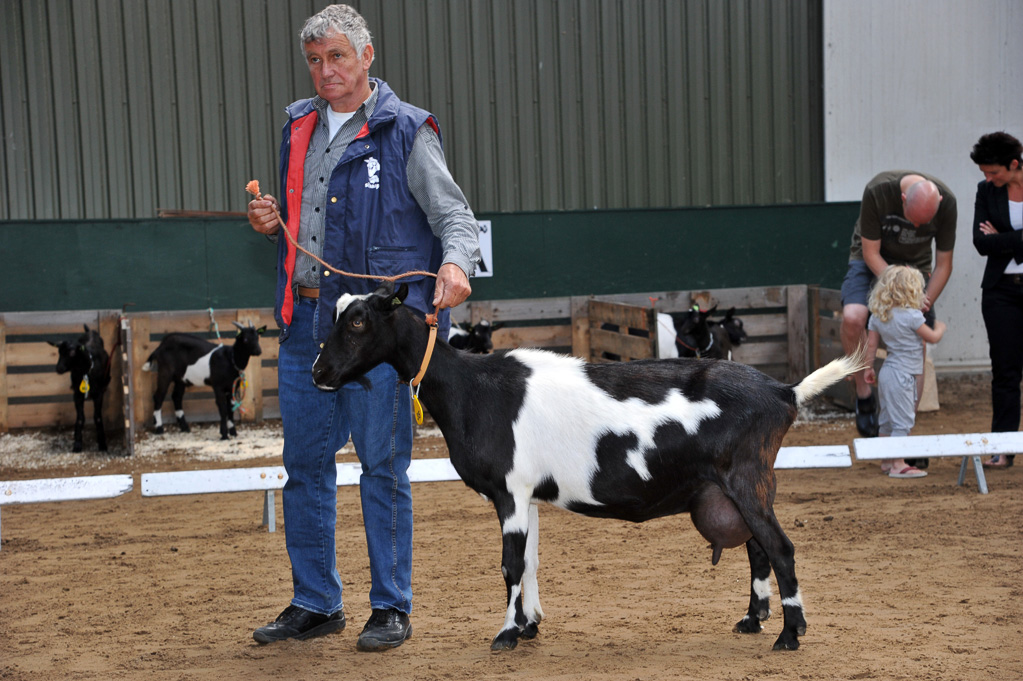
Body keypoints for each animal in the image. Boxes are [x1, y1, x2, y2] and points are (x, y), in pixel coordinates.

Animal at [308, 282, 863, 654]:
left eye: (358, 321)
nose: (319, 373)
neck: (472, 389)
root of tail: (784, 391)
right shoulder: (527, 494)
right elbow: (530, 561)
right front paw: (530, 625)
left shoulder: (510, 491)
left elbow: (510, 565)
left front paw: (506, 635)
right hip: (736, 487)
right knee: (756, 547)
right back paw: (753, 620)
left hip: (748, 479)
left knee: (780, 547)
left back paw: (789, 635)